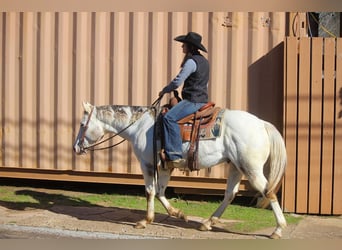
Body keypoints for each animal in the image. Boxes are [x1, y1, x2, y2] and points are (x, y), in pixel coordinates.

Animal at [73, 101, 288, 238]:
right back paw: (207, 223)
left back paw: (278, 230)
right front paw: (179, 214)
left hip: (251, 168)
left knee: (268, 191)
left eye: (83, 124)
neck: (141, 126)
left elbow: (150, 191)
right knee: (230, 194)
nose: (75, 148)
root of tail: (261, 124)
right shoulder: (165, 167)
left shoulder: (147, 164)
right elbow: (160, 192)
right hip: (236, 166)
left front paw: (145, 221)